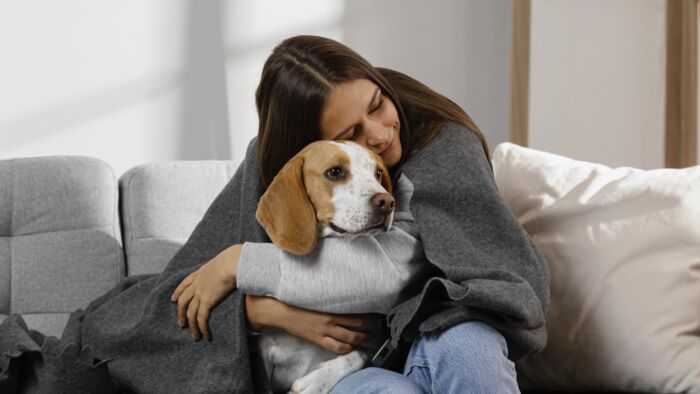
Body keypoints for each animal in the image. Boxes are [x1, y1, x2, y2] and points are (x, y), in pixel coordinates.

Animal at [256, 140, 400, 392]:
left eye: (378, 173)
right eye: (335, 172)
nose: (387, 202)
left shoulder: (371, 342)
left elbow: (355, 356)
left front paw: (316, 381)